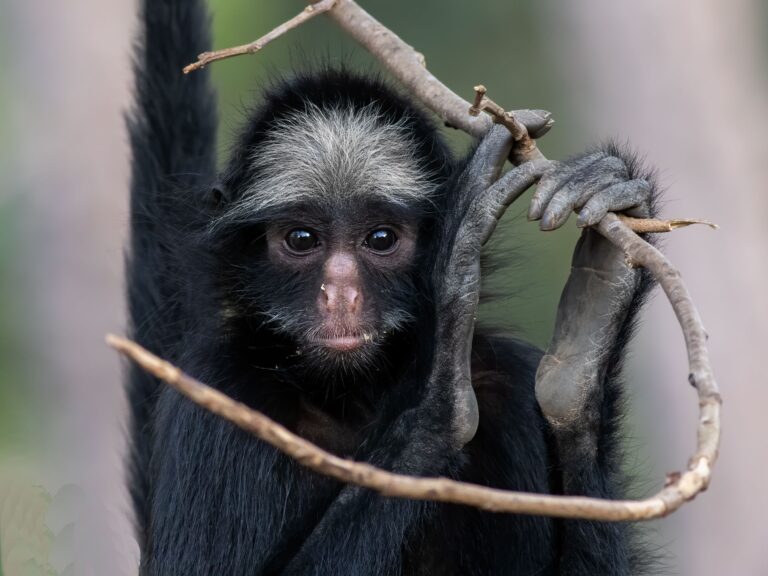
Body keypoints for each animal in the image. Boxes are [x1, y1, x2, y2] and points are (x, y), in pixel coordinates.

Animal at [125, 0, 659, 574]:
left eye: (380, 238)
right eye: (301, 239)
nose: (340, 294)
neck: (353, 400)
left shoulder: (508, 381)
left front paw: (591, 330)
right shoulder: (217, 391)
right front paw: (442, 350)